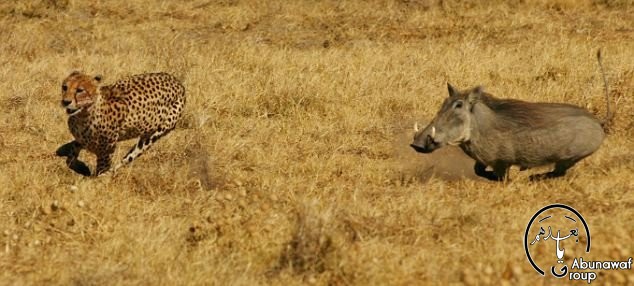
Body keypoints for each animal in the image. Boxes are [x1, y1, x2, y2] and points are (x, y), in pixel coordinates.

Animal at [55, 71, 185, 177]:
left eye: (80, 90)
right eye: (65, 87)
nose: (66, 101)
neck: (83, 114)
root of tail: (175, 80)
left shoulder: (108, 147)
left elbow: (102, 166)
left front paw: (97, 178)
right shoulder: (82, 139)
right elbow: (70, 157)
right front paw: (81, 167)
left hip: (152, 136)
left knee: (126, 159)